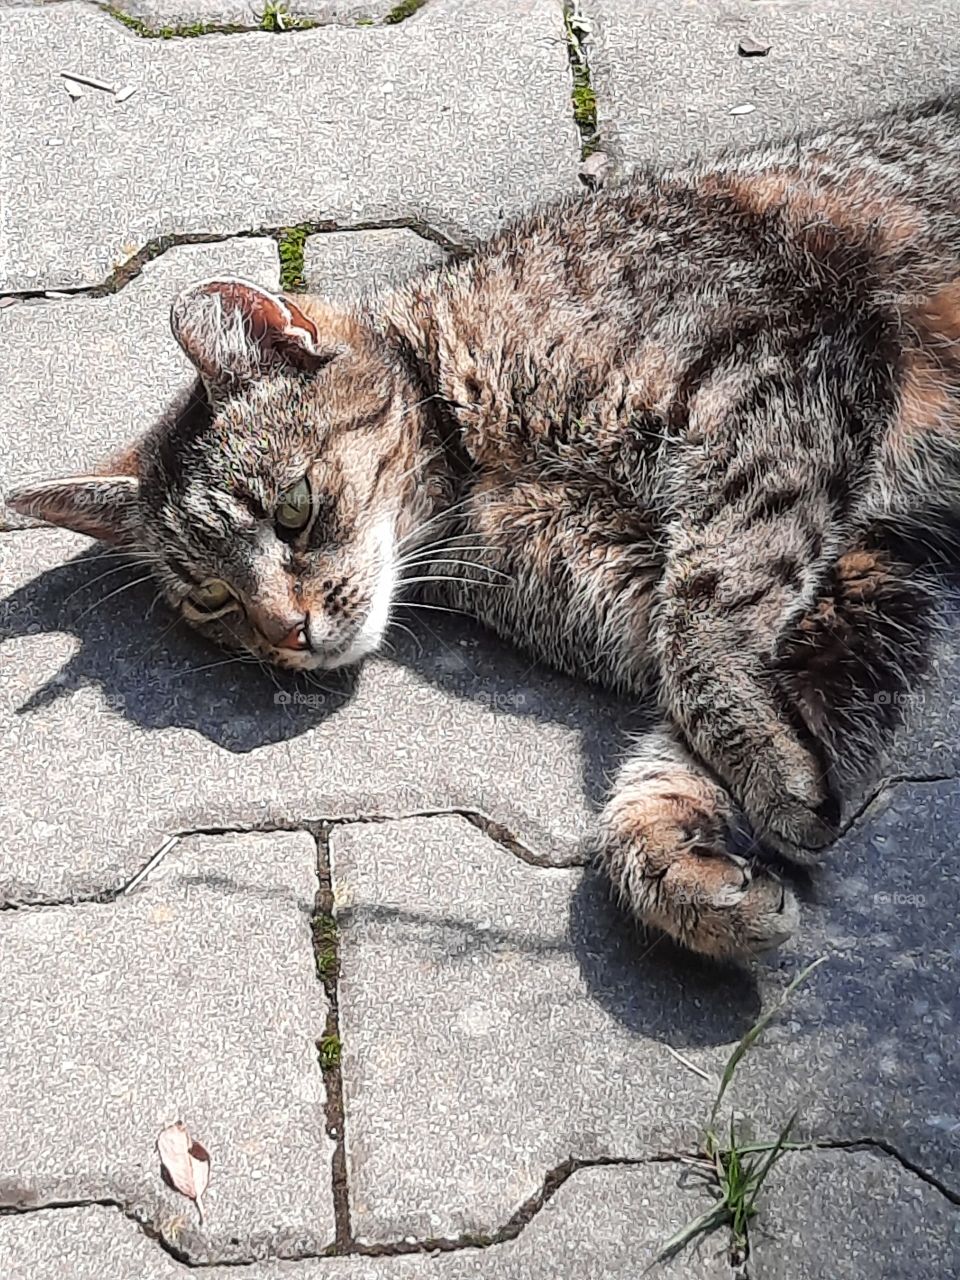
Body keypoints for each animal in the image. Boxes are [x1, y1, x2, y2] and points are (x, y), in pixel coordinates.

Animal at [9, 94, 960, 962]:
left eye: (294, 509)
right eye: (211, 597)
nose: (285, 631)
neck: (474, 474)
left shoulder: (782, 380)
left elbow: (703, 626)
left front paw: (752, 783)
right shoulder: (838, 574)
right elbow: (681, 715)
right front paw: (679, 863)